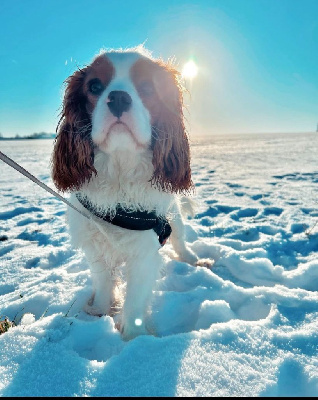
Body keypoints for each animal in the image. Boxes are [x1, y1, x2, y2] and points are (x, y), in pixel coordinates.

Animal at [51, 47, 206, 340]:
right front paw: (100, 311)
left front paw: (134, 341)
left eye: (147, 87)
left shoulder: (144, 252)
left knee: (181, 241)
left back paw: (195, 260)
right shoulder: (96, 245)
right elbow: (103, 282)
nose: (119, 97)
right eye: (95, 86)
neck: (120, 169)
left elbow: (134, 301)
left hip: (175, 220)